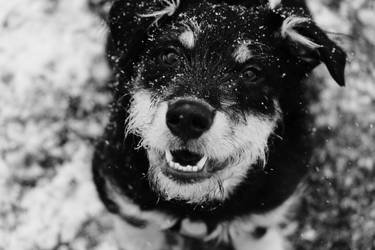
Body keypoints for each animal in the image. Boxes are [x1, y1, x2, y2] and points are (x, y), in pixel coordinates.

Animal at [92, 0, 348, 249]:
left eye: (252, 73)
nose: (188, 117)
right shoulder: (126, 204)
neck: (192, 204)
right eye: (170, 56)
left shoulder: (263, 214)